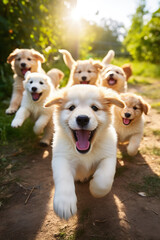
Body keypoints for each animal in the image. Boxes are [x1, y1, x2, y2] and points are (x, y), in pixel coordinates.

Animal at [45, 84, 125, 219]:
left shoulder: (108, 156)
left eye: (94, 108)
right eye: (71, 107)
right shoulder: (61, 158)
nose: (82, 119)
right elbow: (63, 177)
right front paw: (64, 203)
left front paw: (94, 188)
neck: (86, 153)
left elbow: (104, 181)